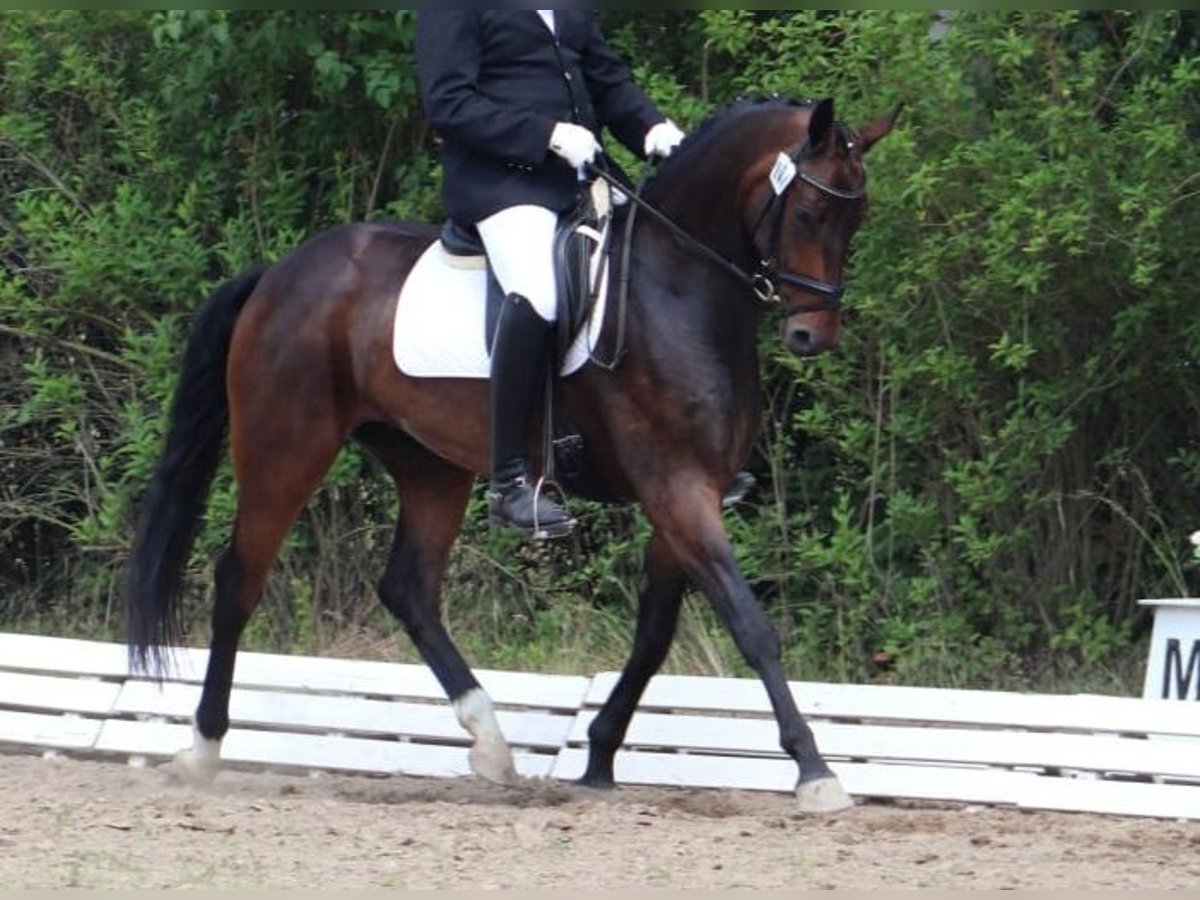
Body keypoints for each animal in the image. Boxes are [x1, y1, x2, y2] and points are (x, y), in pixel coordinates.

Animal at [129, 98, 902, 816]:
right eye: (808, 213)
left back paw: (492, 743)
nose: (811, 336)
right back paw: (202, 749)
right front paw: (815, 772)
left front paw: (598, 758)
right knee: (240, 580)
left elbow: (654, 635)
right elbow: (751, 625)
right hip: (285, 449)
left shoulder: (688, 494)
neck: (677, 289)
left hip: (429, 466)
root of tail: (279, 274)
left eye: (857, 219)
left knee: (409, 589)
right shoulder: (677, 488)